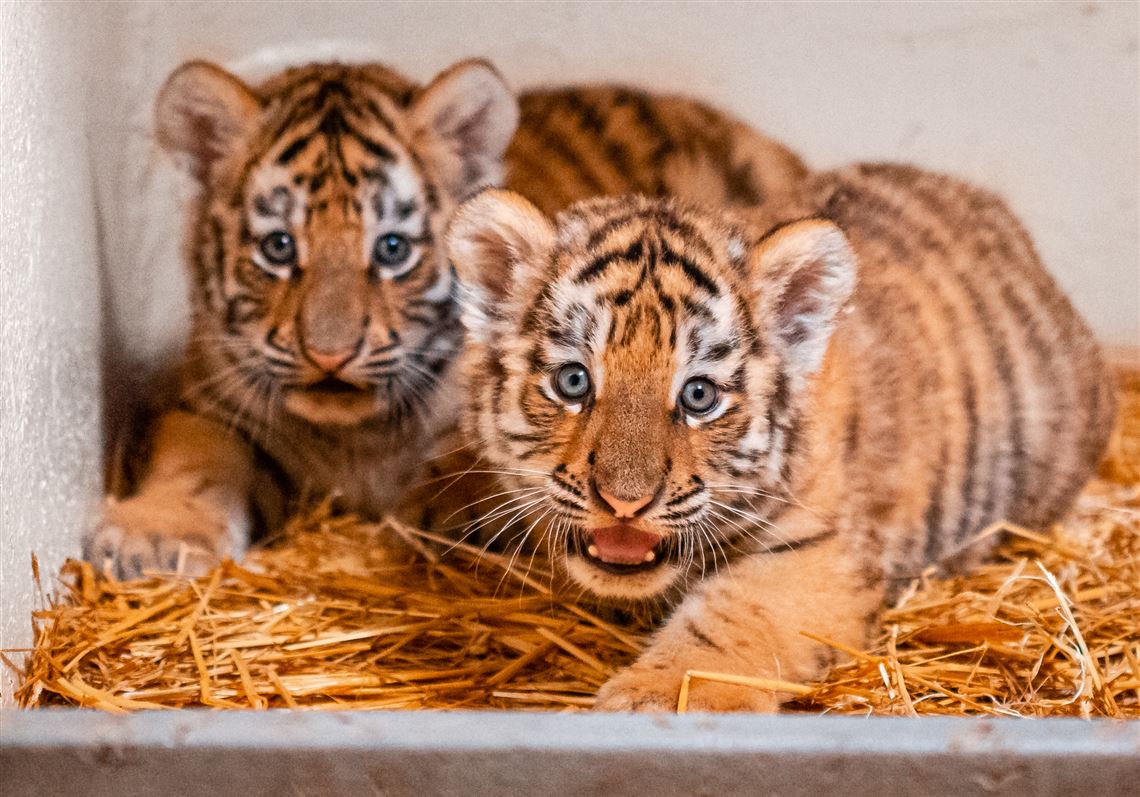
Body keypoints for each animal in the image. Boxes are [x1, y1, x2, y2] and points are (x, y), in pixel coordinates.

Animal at [84, 57, 806, 579]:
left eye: (392, 249)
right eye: (279, 247)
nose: (329, 354)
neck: (353, 436)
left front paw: (444, 511)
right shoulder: (209, 401)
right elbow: (196, 456)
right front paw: (153, 537)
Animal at [444, 162, 1117, 712]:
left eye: (699, 395)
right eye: (574, 381)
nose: (625, 503)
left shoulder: (820, 552)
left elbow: (730, 620)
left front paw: (656, 698)